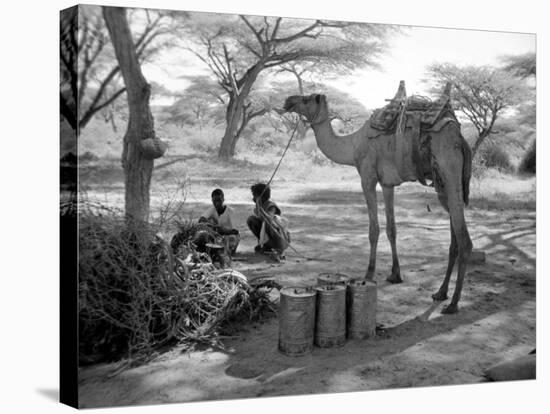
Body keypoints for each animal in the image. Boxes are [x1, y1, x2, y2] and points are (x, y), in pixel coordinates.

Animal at [284, 81, 474, 314]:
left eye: (307, 99)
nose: (288, 101)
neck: (353, 144)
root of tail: (461, 139)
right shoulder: (387, 183)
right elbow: (392, 229)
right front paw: (395, 275)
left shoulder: (367, 177)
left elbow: (373, 230)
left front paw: (368, 274)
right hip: (443, 183)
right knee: (454, 233)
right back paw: (440, 292)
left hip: (449, 166)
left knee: (464, 239)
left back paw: (453, 303)